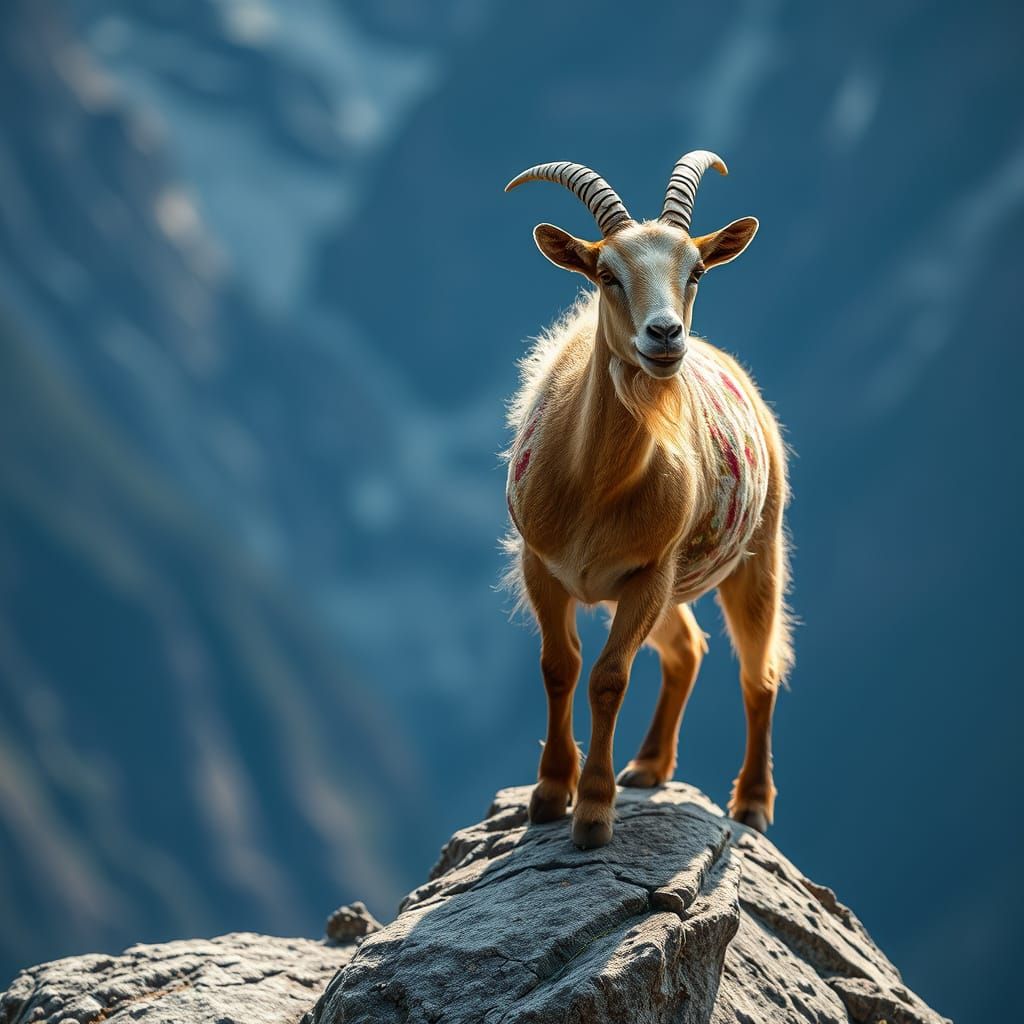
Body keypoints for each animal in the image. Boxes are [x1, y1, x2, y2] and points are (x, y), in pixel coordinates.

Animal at [503, 151, 793, 849]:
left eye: (697, 271)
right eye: (606, 274)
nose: (665, 336)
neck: (593, 485)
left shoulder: (649, 573)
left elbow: (609, 676)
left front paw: (593, 812)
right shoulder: (541, 565)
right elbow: (560, 665)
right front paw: (549, 794)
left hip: (756, 554)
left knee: (760, 671)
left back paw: (751, 804)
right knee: (687, 650)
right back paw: (650, 766)